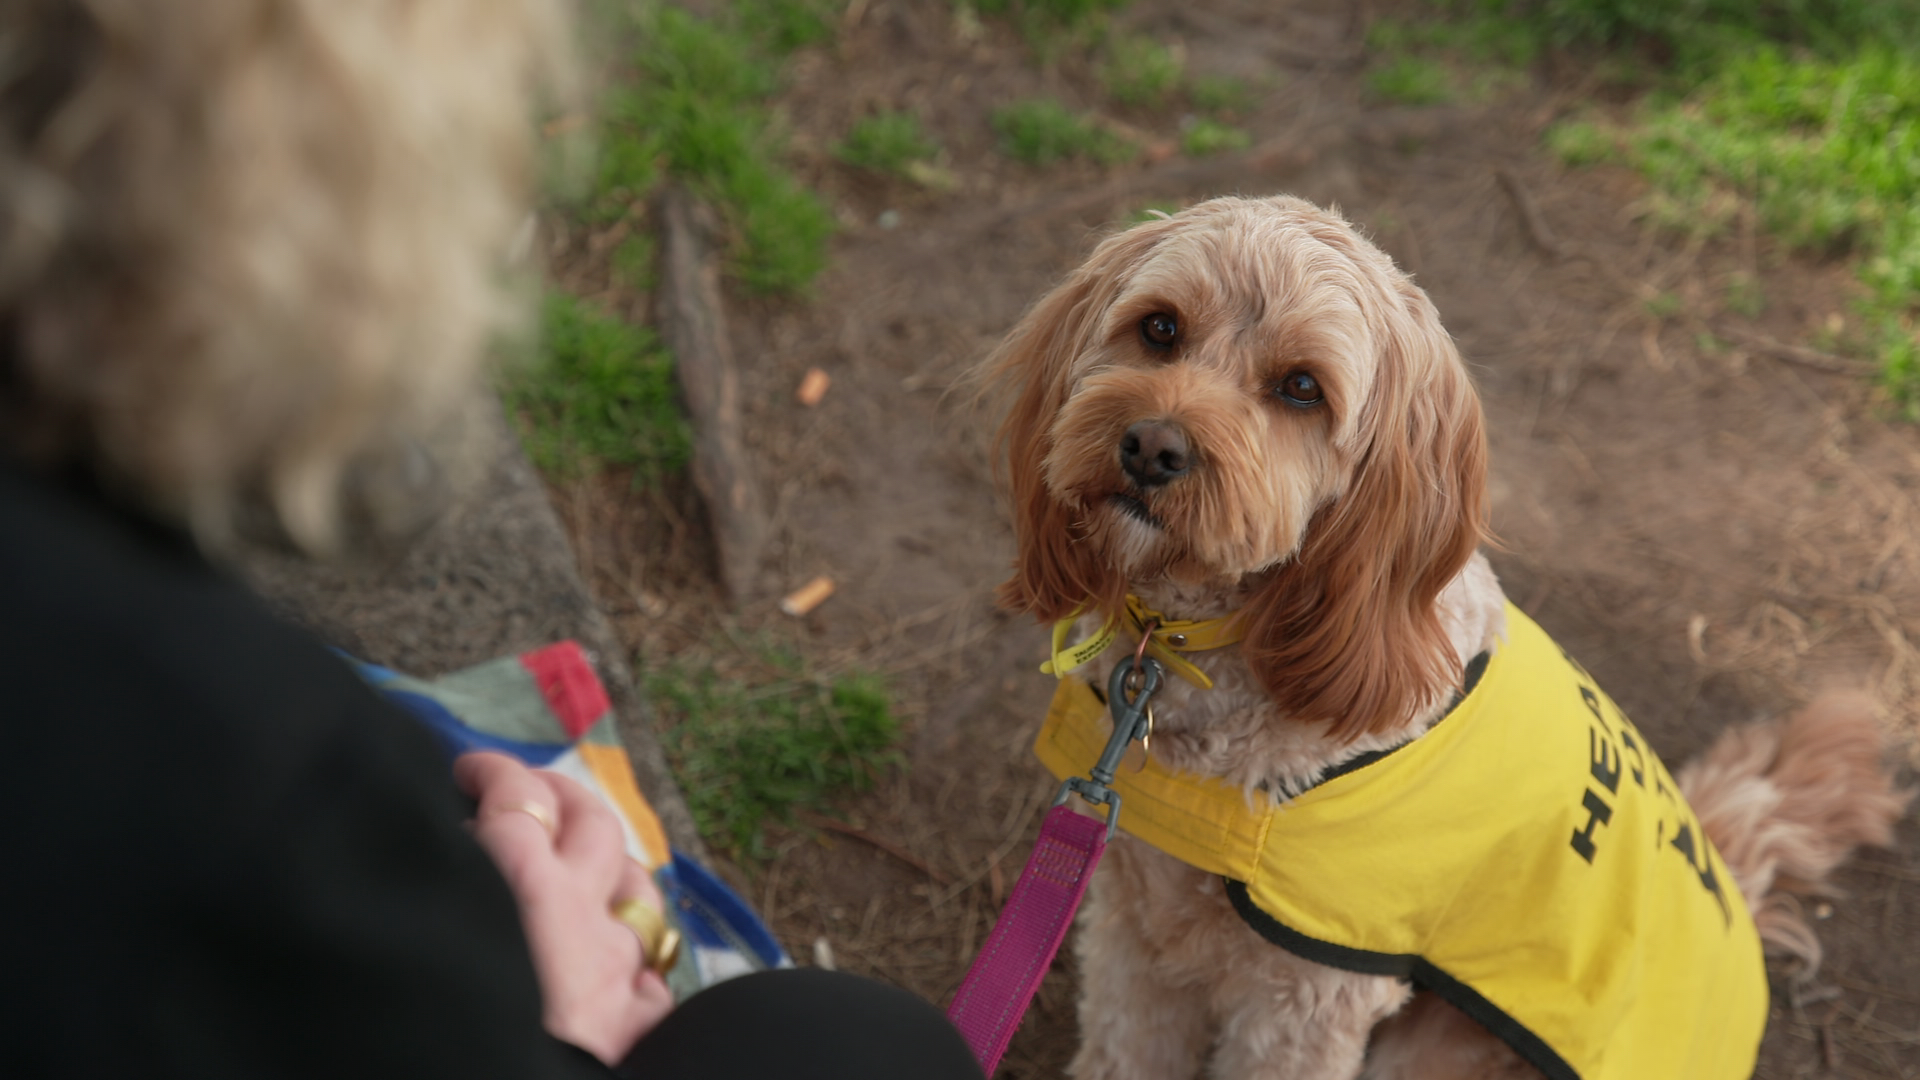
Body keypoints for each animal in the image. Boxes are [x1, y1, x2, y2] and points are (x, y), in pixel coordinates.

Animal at [983, 195, 1912, 1076]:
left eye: (1301, 388)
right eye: (1160, 327)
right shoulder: (1134, 922)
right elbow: (1123, 1049)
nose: (1150, 446)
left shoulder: (1308, 998)